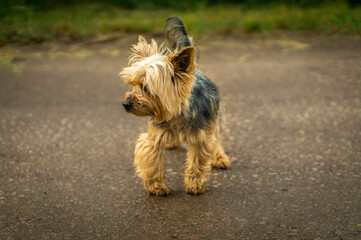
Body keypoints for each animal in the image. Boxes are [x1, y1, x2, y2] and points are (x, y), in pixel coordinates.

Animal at [119, 16, 229, 195]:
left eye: (146, 87)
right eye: (132, 84)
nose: (125, 104)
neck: (177, 113)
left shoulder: (202, 136)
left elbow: (198, 162)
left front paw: (195, 184)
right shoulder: (153, 138)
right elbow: (152, 162)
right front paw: (156, 186)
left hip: (215, 117)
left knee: (217, 139)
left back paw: (219, 157)